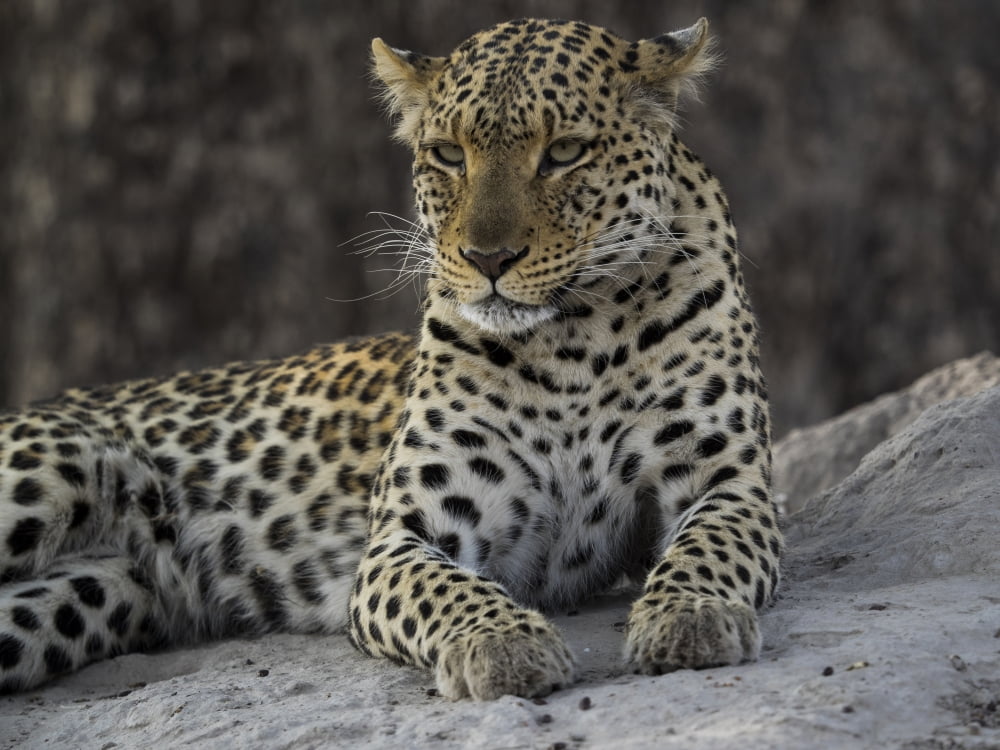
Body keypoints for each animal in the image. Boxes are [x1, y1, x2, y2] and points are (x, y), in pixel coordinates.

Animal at [0, 17, 782, 700]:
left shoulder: (729, 480)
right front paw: (503, 645)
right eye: (448, 155)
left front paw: (690, 618)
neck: (573, 342)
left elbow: (707, 549)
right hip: (55, 467)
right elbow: (449, 592)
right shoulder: (404, 536)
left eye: (564, 153)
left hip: (94, 593)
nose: (487, 259)